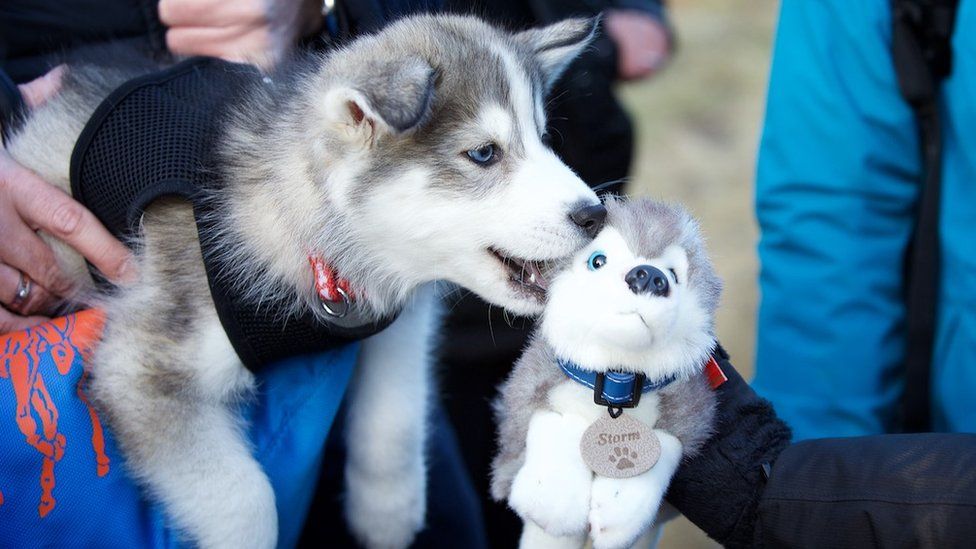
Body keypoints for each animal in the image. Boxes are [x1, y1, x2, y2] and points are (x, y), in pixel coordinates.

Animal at [3, 12, 608, 548]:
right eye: (484, 153)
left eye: (544, 140)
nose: (595, 214)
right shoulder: (141, 367)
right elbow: (244, 501)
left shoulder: (396, 320)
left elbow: (393, 421)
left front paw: (387, 513)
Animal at [492, 199, 720, 548]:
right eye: (597, 260)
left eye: (674, 274)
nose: (649, 276)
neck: (617, 380)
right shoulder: (531, 385)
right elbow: (554, 423)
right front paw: (555, 497)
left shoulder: (693, 405)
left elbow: (668, 441)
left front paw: (621, 505)